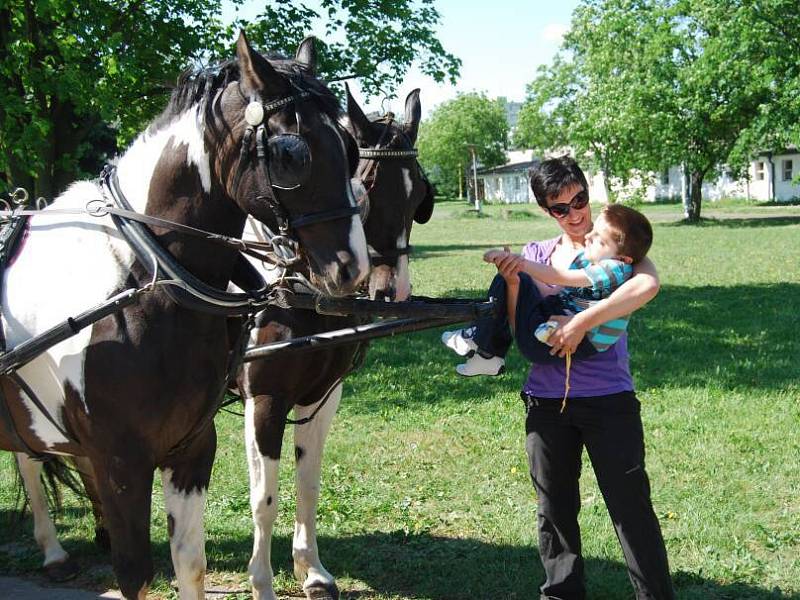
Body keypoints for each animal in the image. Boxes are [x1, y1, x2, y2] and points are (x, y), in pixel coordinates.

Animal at [0, 34, 368, 600]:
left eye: (351, 150)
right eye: (291, 154)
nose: (353, 268)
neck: (142, 279)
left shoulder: (192, 447)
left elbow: (190, 564)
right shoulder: (123, 463)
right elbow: (135, 574)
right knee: (30, 463)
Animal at [239, 85, 432, 600]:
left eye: (419, 196)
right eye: (365, 187)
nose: (391, 291)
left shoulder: (322, 397)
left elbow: (308, 483)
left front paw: (311, 570)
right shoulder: (264, 402)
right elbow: (264, 498)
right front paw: (262, 582)